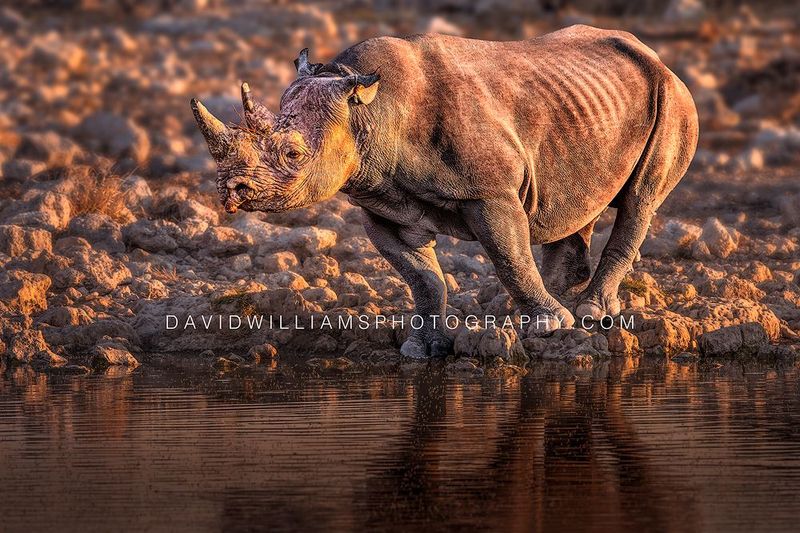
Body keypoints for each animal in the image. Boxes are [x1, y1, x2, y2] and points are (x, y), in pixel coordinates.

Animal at [191, 25, 698, 358]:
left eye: (294, 154)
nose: (231, 191)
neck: (367, 113)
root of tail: (655, 55)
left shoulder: (490, 192)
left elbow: (508, 255)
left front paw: (549, 328)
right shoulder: (381, 206)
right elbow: (422, 277)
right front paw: (423, 348)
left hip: (672, 97)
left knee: (640, 199)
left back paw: (586, 314)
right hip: (586, 104)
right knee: (574, 200)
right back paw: (546, 302)